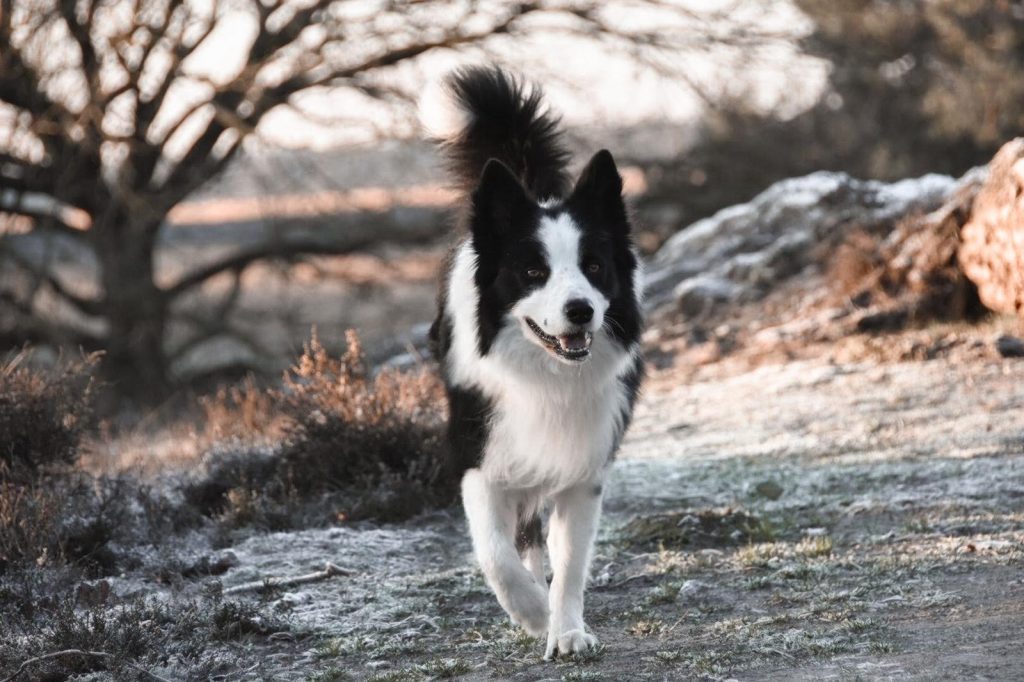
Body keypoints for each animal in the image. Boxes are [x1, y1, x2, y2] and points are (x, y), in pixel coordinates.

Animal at [421, 66, 638, 655]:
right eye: (533, 272)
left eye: (593, 265)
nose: (581, 310)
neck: (548, 375)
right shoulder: (478, 453)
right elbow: (496, 553)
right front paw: (535, 614)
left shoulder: (583, 467)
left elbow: (571, 564)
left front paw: (567, 632)